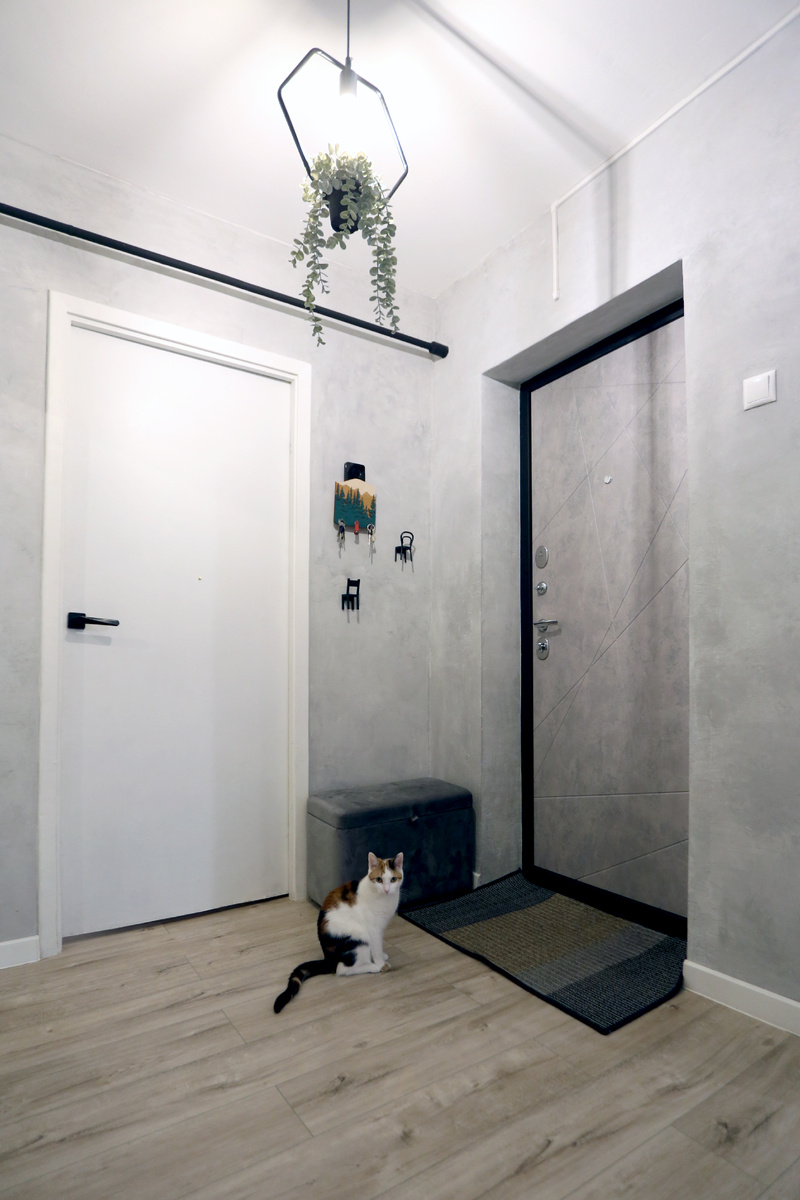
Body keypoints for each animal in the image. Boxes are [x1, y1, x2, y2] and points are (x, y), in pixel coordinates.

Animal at [273, 851, 404, 1013]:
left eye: (393, 879)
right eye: (379, 879)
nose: (386, 889)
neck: (385, 899)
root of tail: (328, 958)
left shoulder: (381, 927)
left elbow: (378, 946)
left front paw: (382, 956)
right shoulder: (373, 928)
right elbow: (376, 947)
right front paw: (380, 963)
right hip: (359, 936)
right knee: (342, 969)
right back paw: (372, 967)